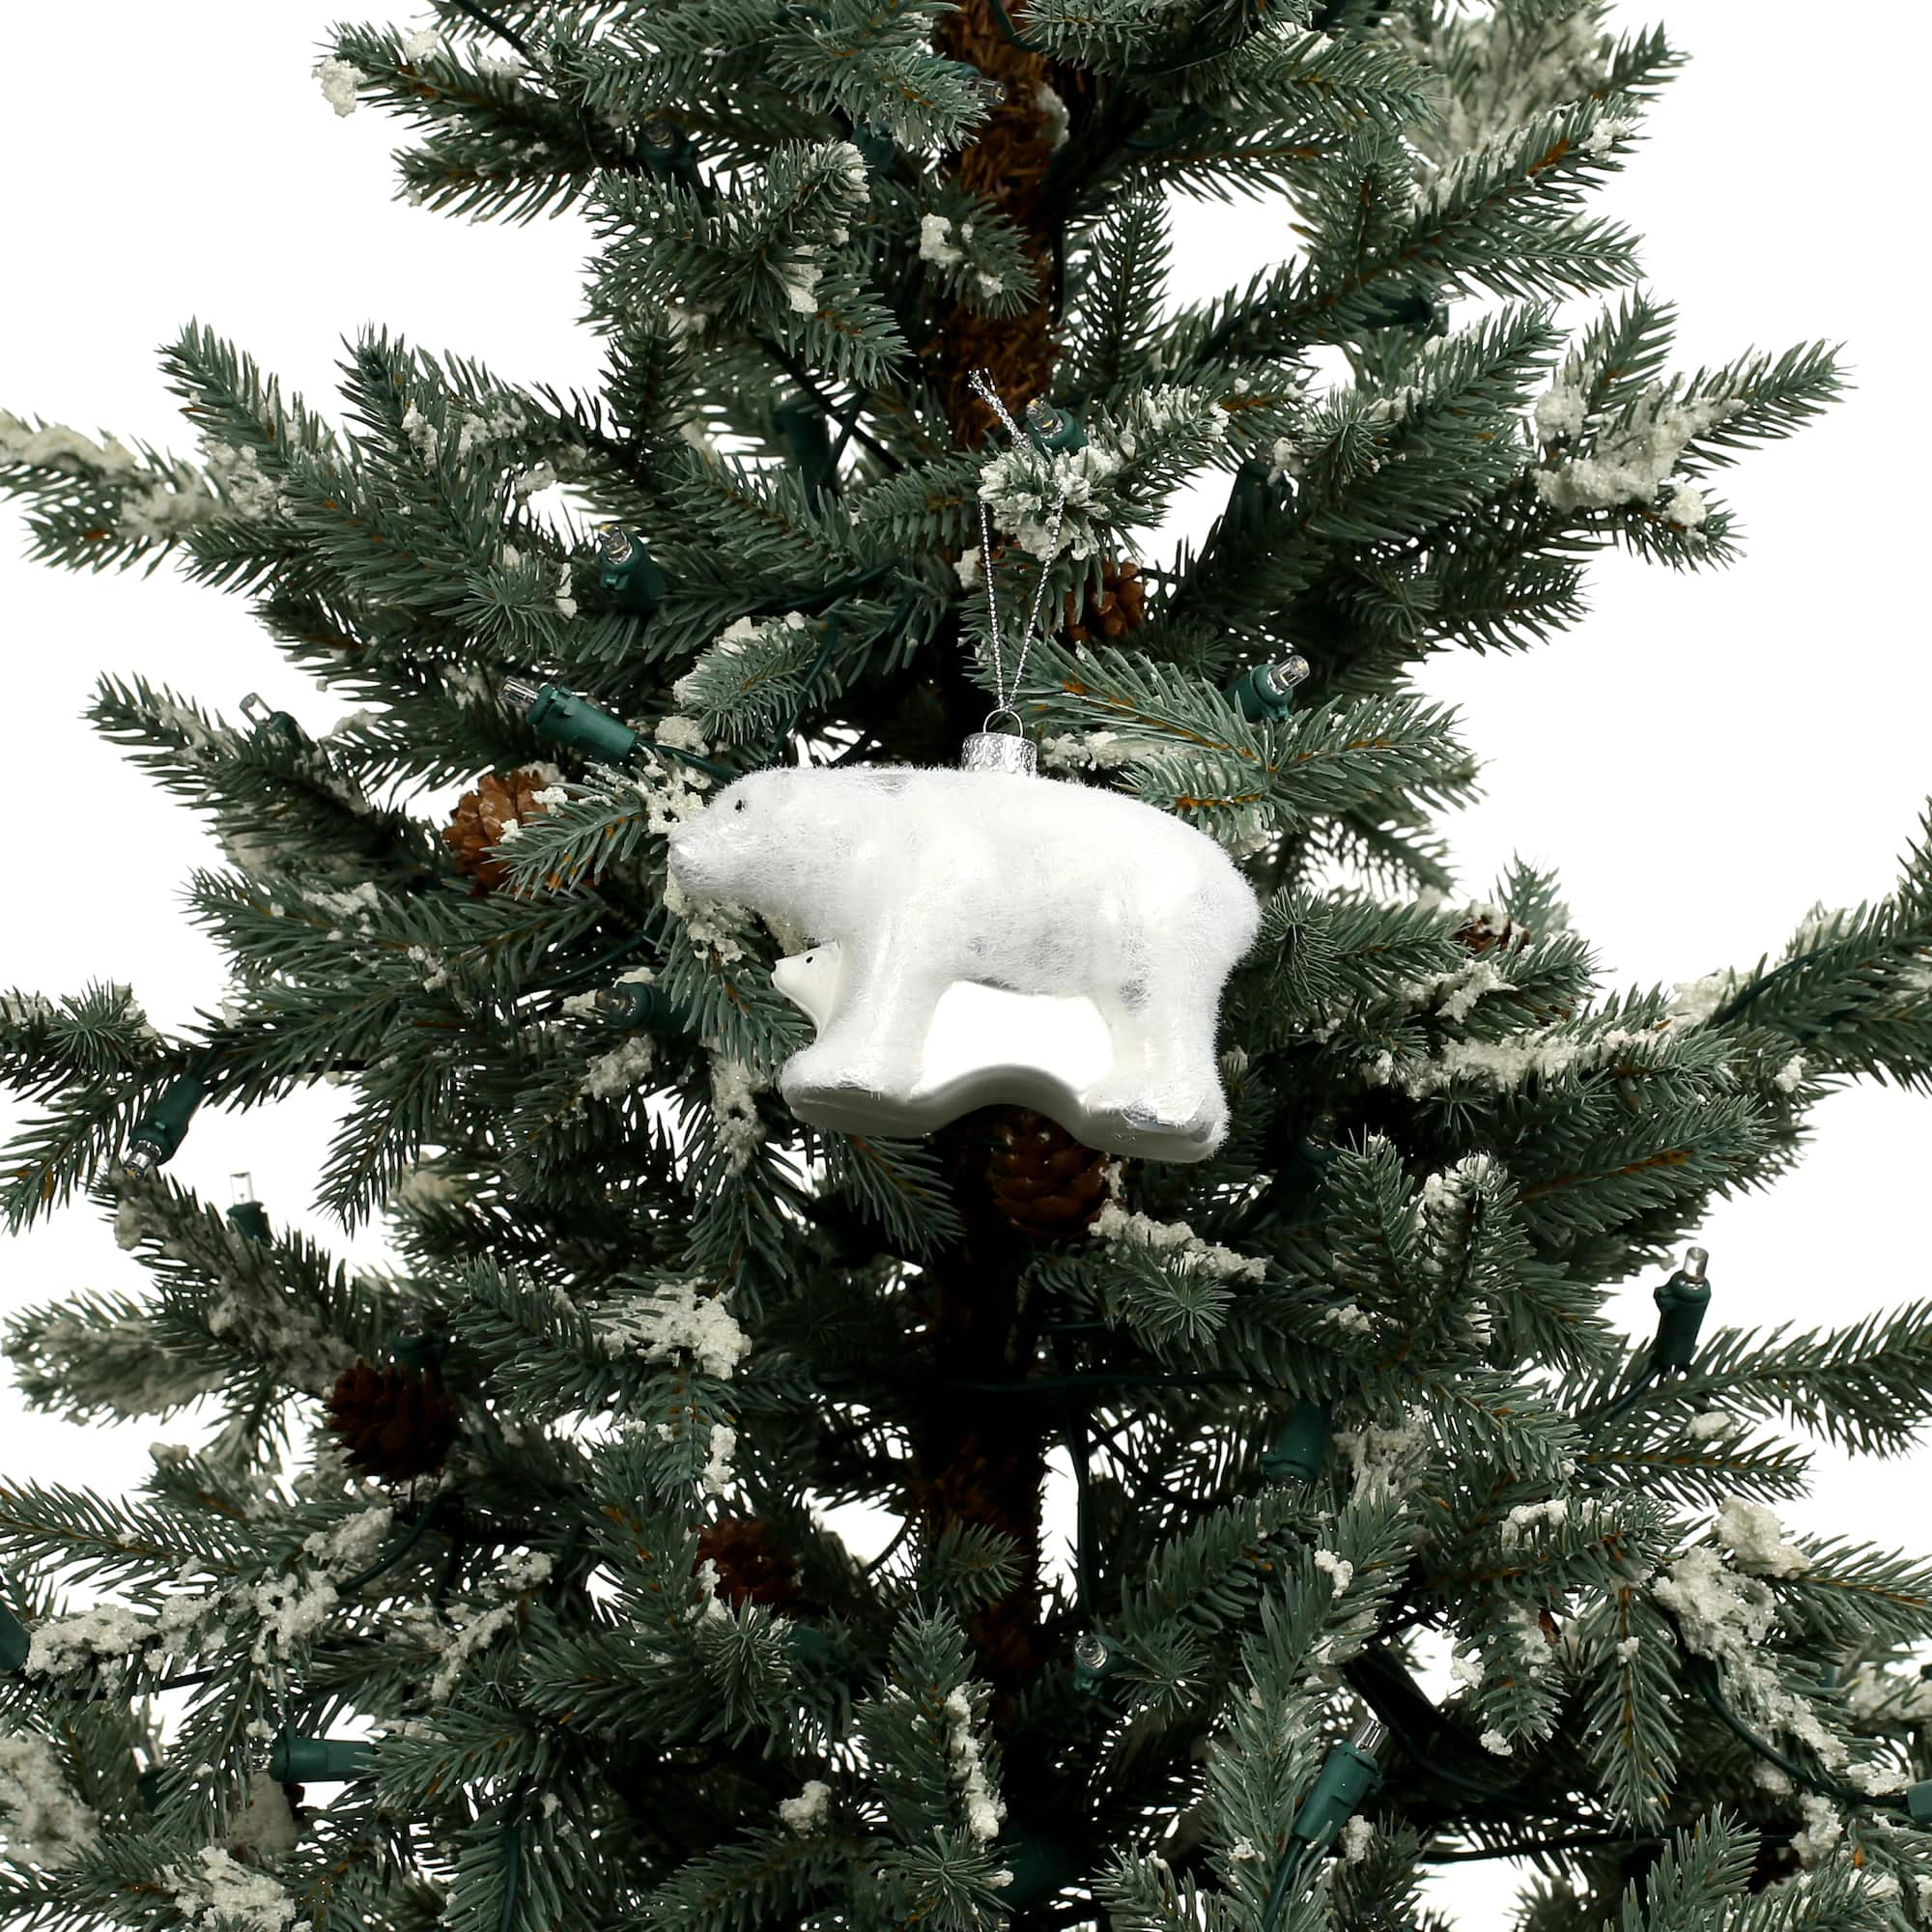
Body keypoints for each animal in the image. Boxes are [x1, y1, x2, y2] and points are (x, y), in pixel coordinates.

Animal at [665, 762, 1262, 1160]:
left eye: (737, 804)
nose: (676, 846)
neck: (865, 824)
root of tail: (1245, 903)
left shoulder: (917, 885)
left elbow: (893, 974)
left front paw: (835, 1078)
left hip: (1160, 920)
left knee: (1160, 1004)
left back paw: (1151, 1113)